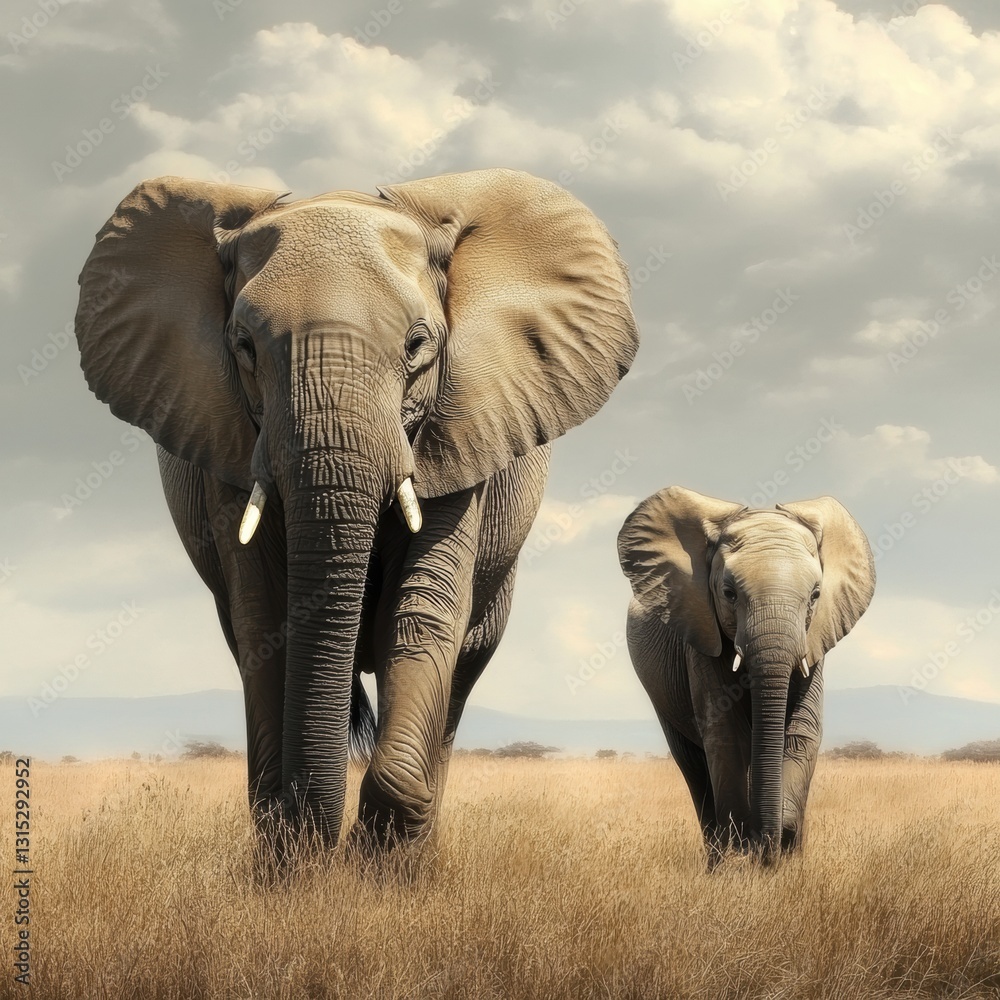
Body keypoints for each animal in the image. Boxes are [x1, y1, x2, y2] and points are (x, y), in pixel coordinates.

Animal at [75, 168, 638, 858]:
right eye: (244, 347)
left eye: (418, 345)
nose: (317, 839)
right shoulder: (225, 439)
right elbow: (265, 618)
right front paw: (288, 855)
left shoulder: (461, 432)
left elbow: (424, 613)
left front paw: (379, 860)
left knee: (463, 669)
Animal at [618, 487, 875, 865]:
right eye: (729, 594)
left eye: (816, 595)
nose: (766, 852)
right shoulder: (700, 637)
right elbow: (727, 737)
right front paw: (743, 858)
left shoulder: (816, 641)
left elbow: (800, 733)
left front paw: (782, 856)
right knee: (693, 766)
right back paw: (716, 861)